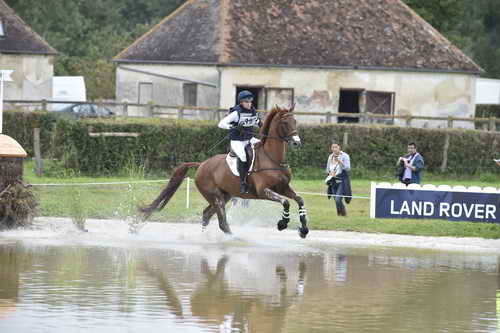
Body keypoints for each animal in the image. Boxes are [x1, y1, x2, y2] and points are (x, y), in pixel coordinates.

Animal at [140, 105, 308, 237]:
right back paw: (234, 240)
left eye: (295, 121)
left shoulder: (283, 187)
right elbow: (285, 202)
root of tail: (202, 164)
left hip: (225, 195)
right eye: (285, 122)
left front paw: (304, 230)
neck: (272, 158)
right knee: (222, 222)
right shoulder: (263, 191)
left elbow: (299, 200)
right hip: (216, 197)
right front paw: (282, 223)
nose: (297, 142)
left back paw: (206, 238)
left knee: (207, 214)